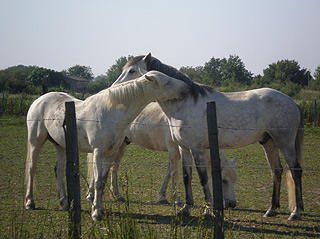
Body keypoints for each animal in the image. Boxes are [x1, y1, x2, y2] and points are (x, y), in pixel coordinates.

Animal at [25, 70, 190, 220]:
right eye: (167, 82)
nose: (186, 88)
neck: (111, 113)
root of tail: (39, 100)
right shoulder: (98, 152)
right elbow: (98, 181)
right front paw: (96, 213)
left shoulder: (110, 153)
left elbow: (103, 180)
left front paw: (100, 208)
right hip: (36, 141)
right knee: (32, 168)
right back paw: (30, 202)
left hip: (61, 146)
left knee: (58, 171)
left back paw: (64, 203)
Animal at [86, 102, 239, 208]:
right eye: (224, 180)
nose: (232, 204)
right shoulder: (174, 149)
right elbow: (174, 173)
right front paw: (177, 200)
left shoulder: (176, 152)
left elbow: (168, 173)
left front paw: (162, 196)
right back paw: (91, 194)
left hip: (122, 144)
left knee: (114, 167)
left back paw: (116, 195)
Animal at [111, 52, 304, 220]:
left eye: (131, 71)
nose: (113, 89)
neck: (186, 103)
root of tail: (292, 102)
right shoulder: (183, 148)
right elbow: (186, 176)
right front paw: (185, 208)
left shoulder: (197, 149)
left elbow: (203, 178)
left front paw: (208, 211)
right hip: (269, 142)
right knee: (276, 171)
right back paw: (271, 210)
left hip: (285, 143)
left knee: (295, 170)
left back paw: (296, 212)